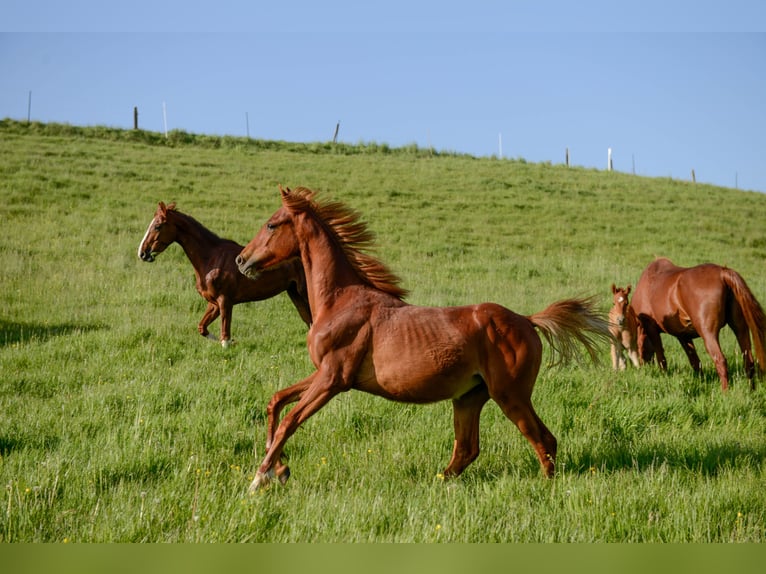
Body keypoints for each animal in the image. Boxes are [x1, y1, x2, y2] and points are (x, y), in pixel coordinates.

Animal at [138, 200, 312, 348]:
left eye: (157, 226)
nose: (142, 253)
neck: (211, 258)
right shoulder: (214, 303)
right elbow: (202, 328)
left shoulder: (225, 301)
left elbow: (225, 337)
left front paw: (230, 343)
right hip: (294, 293)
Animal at [234, 187, 612, 492]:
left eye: (271, 224)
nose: (241, 260)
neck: (340, 301)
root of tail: (527, 321)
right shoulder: (325, 374)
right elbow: (275, 402)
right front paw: (279, 470)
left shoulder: (333, 379)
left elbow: (289, 421)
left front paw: (259, 479)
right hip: (470, 397)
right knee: (468, 448)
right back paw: (440, 482)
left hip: (510, 395)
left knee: (542, 438)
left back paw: (546, 486)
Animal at [632, 258, 764, 394]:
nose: (642, 366)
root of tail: (723, 273)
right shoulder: (683, 336)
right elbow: (695, 362)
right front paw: (702, 381)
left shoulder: (651, 328)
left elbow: (661, 357)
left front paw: (664, 376)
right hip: (740, 329)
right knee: (749, 361)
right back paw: (751, 391)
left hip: (708, 334)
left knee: (720, 360)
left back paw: (725, 392)